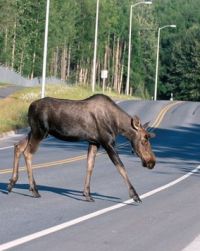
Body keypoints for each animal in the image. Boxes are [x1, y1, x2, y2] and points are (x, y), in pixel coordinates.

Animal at [7, 93, 155, 202]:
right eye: (144, 140)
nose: (152, 162)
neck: (117, 125)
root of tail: (29, 107)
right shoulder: (107, 143)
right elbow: (121, 167)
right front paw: (135, 195)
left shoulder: (94, 142)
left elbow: (89, 166)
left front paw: (87, 194)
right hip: (40, 131)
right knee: (28, 152)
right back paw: (34, 190)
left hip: (34, 131)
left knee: (18, 146)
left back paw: (12, 183)